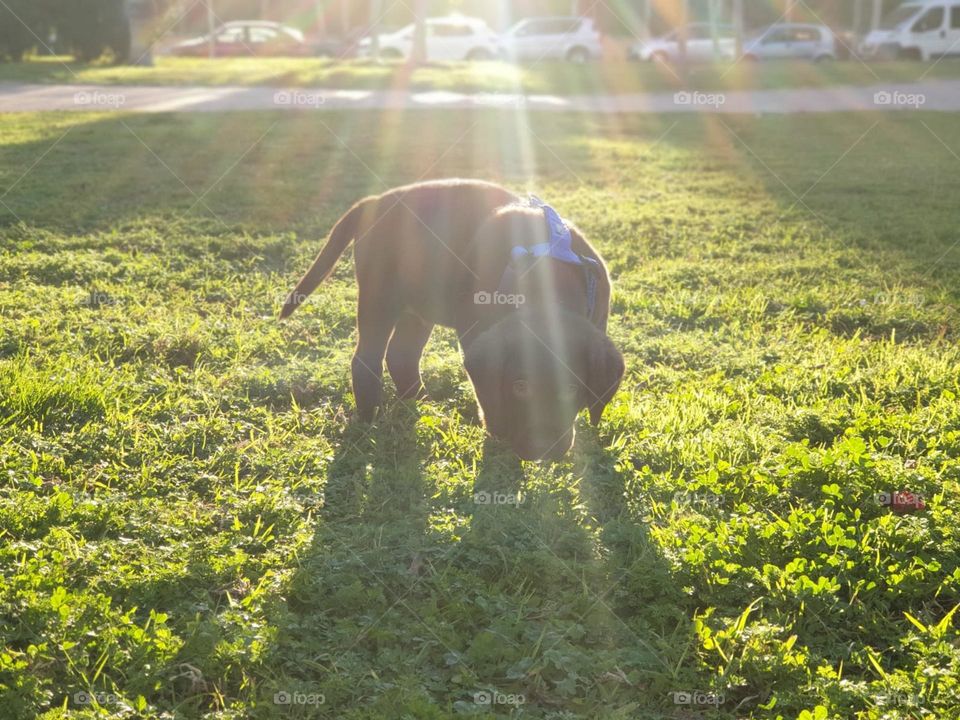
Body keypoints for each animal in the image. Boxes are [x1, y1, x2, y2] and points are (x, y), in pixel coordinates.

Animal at [280, 180, 624, 462]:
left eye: (571, 388)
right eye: (520, 387)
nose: (544, 450)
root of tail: (374, 201)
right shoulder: (475, 331)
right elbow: (489, 395)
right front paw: (497, 431)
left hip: (418, 305)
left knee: (402, 356)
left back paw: (421, 402)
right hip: (379, 298)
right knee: (366, 360)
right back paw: (369, 418)